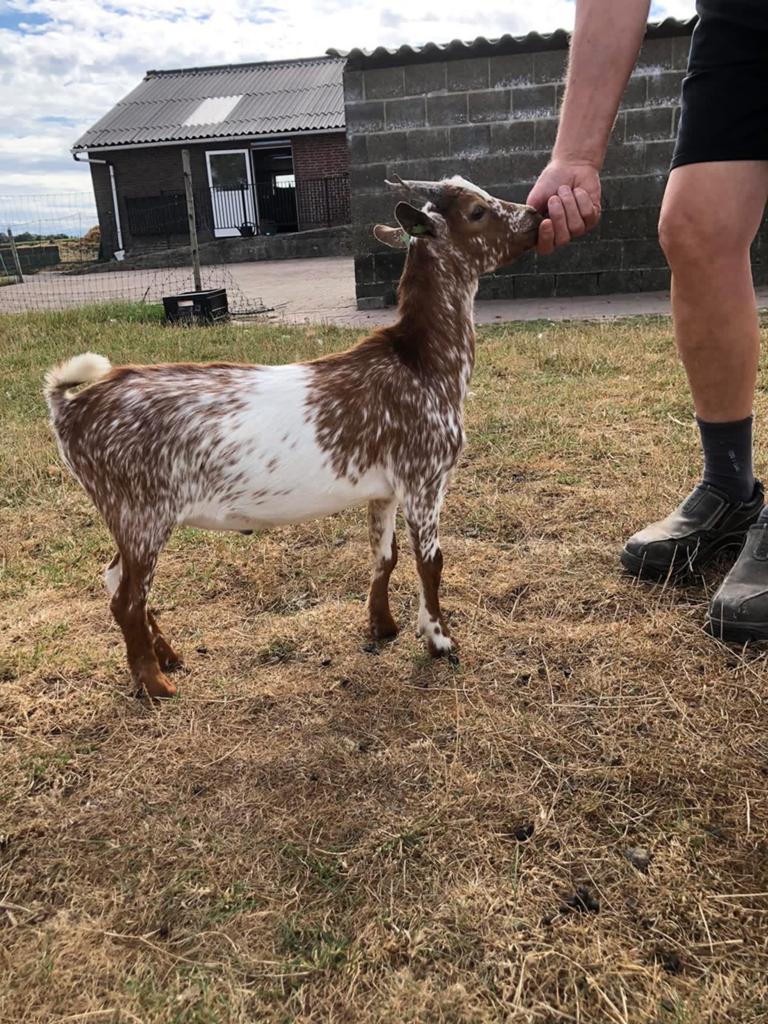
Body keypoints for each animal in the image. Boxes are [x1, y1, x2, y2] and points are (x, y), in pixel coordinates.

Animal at [44, 175, 540, 698]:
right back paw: (156, 683)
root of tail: (70, 408)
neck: (419, 362)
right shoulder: (425, 478)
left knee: (114, 578)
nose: (535, 216)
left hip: (127, 517)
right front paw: (440, 641)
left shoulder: (384, 489)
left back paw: (169, 656)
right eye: (476, 211)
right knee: (127, 598)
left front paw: (382, 626)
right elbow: (431, 562)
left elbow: (384, 555)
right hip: (140, 512)